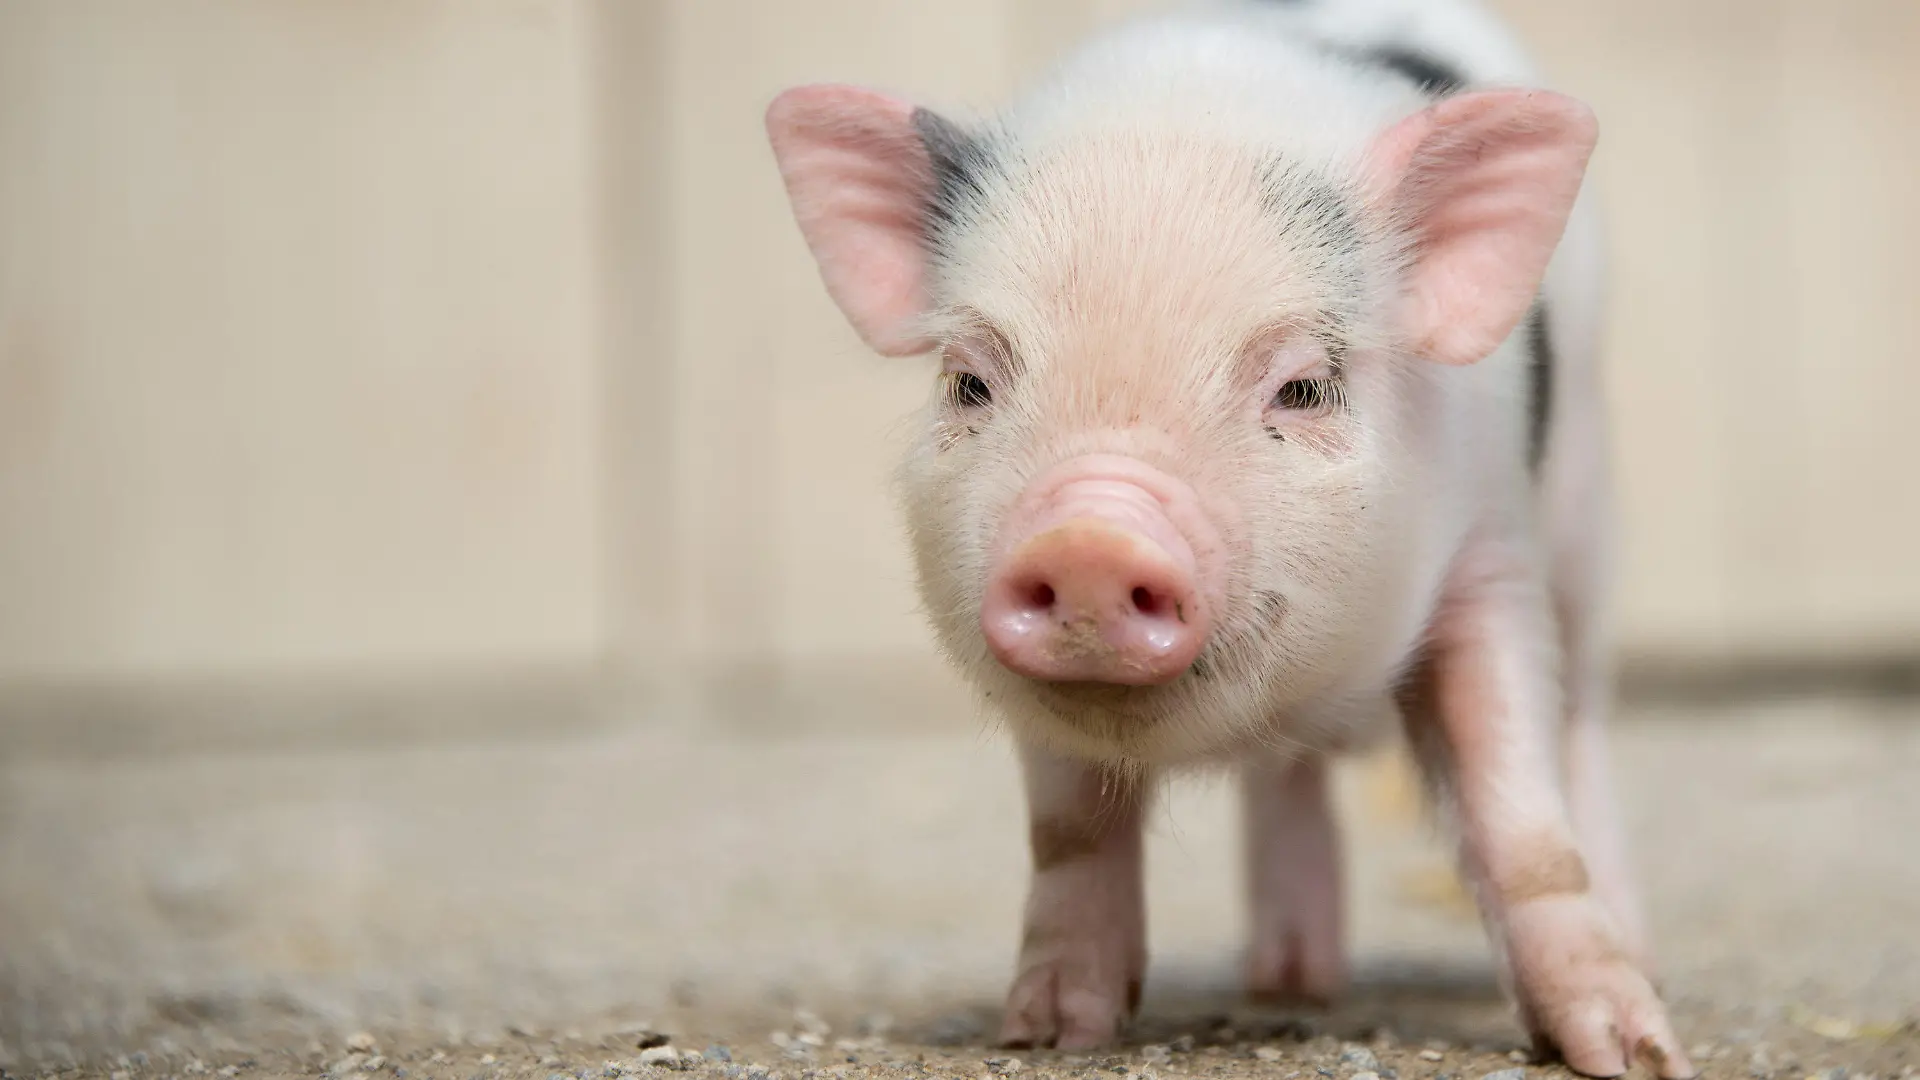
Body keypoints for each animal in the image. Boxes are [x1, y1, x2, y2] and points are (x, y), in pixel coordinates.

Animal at [763, 0, 1687, 1075]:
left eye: (1303, 387)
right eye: (970, 382)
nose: (1089, 541)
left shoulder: (1490, 554)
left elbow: (1520, 820)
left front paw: (1631, 1052)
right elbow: (1071, 835)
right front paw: (1048, 1031)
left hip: (1587, 513)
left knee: (1580, 713)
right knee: (1286, 776)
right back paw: (1286, 982)